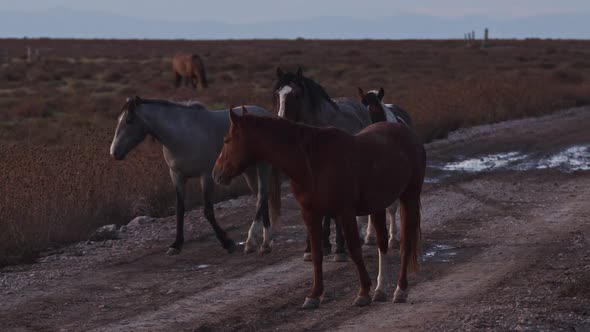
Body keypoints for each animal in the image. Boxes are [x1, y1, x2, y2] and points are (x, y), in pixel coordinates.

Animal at [213, 107, 426, 310]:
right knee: (382, 243)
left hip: (409, 196)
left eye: (227, 140)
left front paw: (363, 292)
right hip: (377, 205)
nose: (217, 174)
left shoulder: (345, 213)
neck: (313, 162)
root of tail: (407, 132)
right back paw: (381, 289)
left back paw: (400, 290)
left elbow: (354, 250)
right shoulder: (310, 214)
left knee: (406, 242)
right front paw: (314, 295)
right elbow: (316, 254)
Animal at [272, 65, 370, 262]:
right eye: (277, 94)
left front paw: (340, 249)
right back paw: (324, 244)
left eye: (296, 94)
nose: (281, 121)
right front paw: (310, 248)